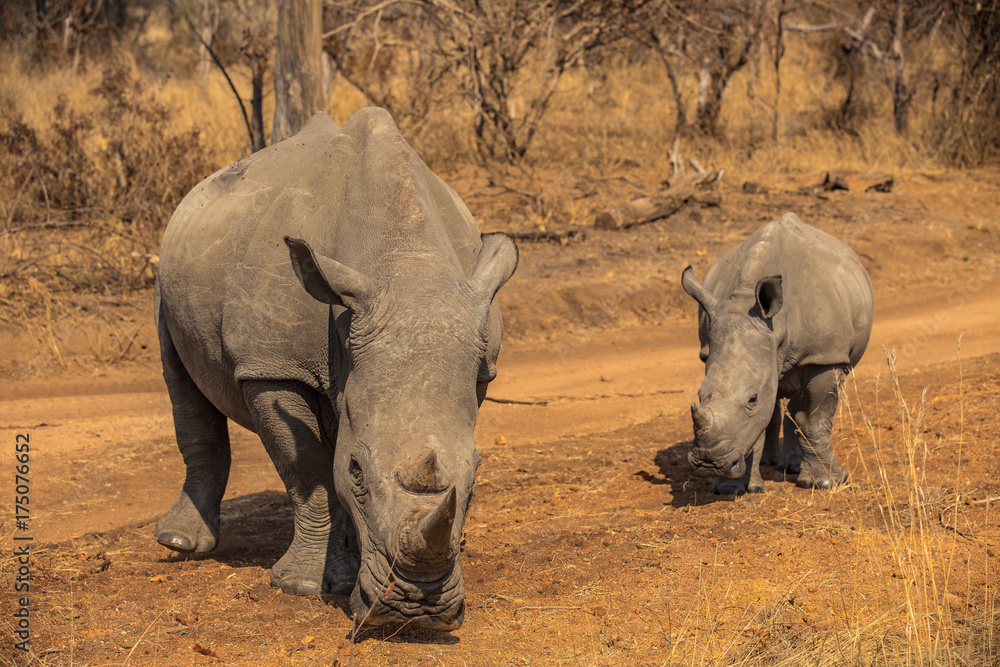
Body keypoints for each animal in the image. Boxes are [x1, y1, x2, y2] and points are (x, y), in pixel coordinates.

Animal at [153, 108, 518, 631]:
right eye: (357, 470)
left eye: (480, 470)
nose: (416, 609)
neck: (403, 261)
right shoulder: (272, 366)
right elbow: (308, 468)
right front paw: (306, 586)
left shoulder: (479, 364)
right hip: (167, 278)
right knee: (179, 378)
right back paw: (180, 543)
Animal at [681, 213, 873, 495]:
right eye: (700, 395)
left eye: (752, 399)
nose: (709, 464)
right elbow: (756, 423)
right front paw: (732, 488)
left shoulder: (824, 357)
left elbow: (813, 418)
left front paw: (826, 482)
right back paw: (772, 463)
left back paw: (794, 469)